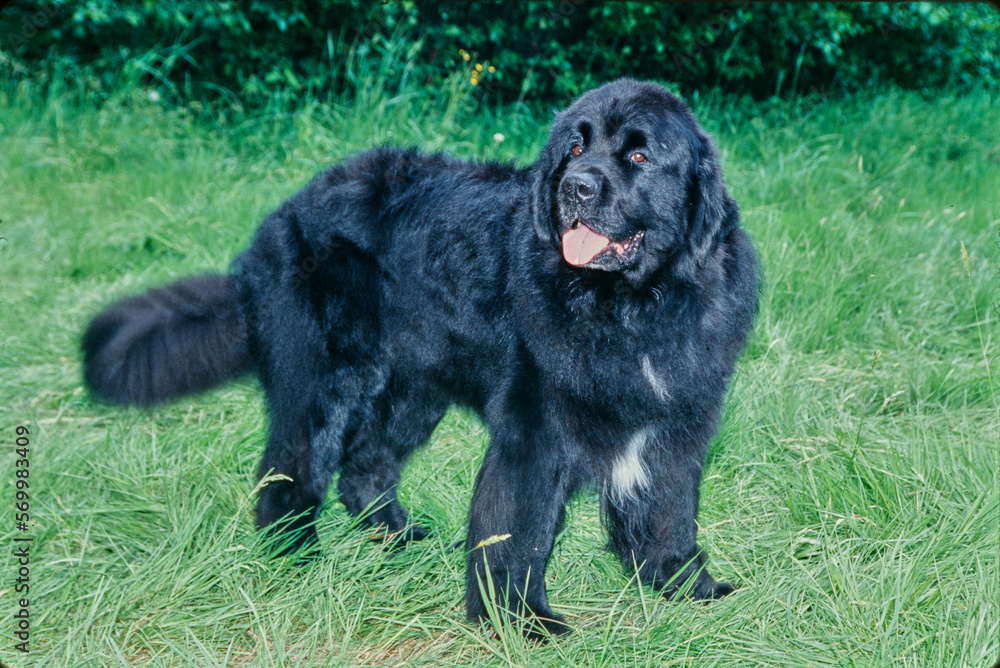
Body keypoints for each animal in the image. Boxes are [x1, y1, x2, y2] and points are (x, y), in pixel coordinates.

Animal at [82, 79, 756, 636]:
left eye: (639, 156)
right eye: (573, 148)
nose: (575, 187)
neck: (628, 305)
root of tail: (281, 217)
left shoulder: (675, 420)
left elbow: (669, 509)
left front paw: (684, 585)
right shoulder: (534, 432)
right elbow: (518, 532)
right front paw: (520, 621)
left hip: (413, 389)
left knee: (365, 466)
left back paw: (396, 537)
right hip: (327, 379)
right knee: (292, 469)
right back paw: (296, 557)